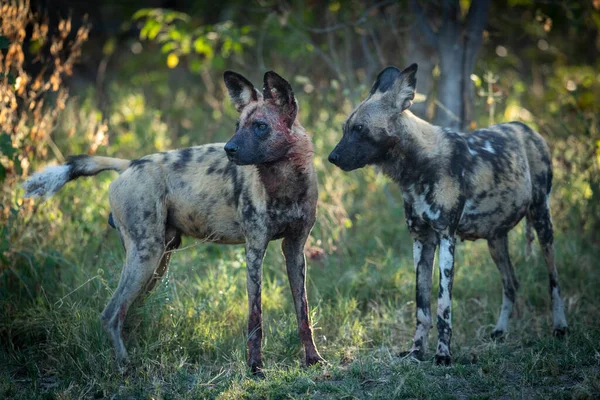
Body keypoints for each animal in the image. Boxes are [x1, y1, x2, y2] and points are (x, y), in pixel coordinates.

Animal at [22, 69, 324, 376]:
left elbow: (303, 314)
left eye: (261, 126)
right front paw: (255, 367)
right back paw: (125, 366)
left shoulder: (294, 250)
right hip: (146, 254)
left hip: (159, 259)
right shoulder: (254, 251)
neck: (284, 183)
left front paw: (313, 359)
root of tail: (129, 164)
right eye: (238, 125)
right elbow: (255, 320)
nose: (229, 149)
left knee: (130, 311)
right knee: (111, 314)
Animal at [328, 63, 568, 366]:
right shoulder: (421, 240)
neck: (416, 169)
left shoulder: (446, 238)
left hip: (542, 222)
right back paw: (500, 331)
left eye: (359, 129)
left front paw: (443, 355)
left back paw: (560, 327)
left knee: (554, 281)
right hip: (495, 241)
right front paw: (416, 352)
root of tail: (528, 129)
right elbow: (422, 309)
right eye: (344, 129)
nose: (331, 158)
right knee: (511, 283)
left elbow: (443, 308)